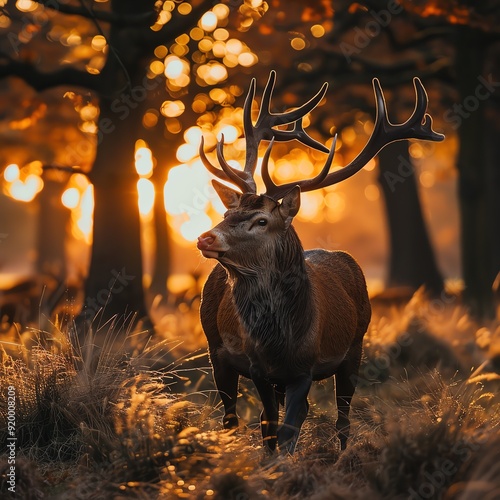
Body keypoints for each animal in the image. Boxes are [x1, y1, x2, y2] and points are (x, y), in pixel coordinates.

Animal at [197, 70, 444, 454]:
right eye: (227, 213)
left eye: (261, 221)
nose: (206, 238)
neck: (280, 341)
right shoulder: (258, 368)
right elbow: (270, 430)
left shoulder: (305, 369)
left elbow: (288, 430)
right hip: (214, 349)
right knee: (231, 418)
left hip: (356, 347)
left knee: (343, 418)